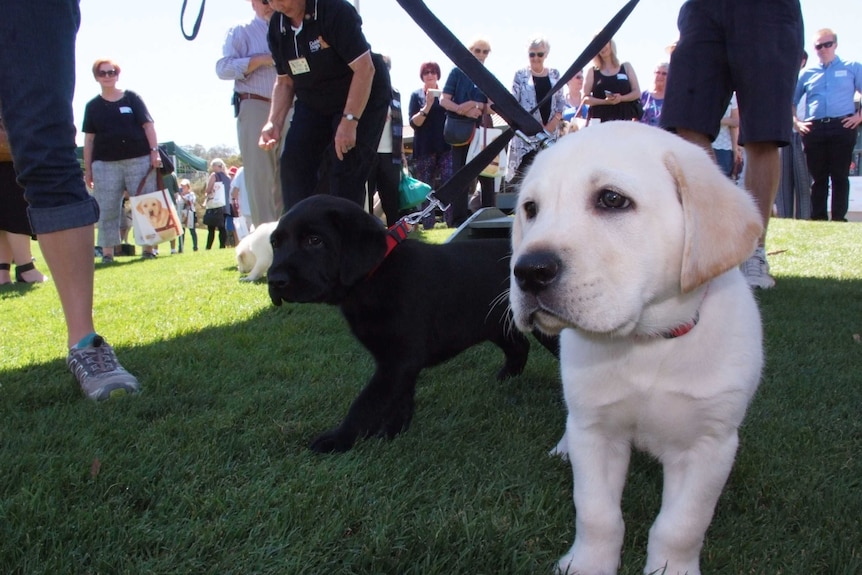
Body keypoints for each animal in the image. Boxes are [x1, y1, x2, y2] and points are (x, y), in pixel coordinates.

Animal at [266, 197, 556, 454]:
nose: (274, 280)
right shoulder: (397, 361)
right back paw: (505, 378)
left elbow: (367, 402)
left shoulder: (399, 358)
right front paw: (393, 432)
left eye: (315, 241)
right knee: (519, 346)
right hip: (493, 322)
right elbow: (399, 397)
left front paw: (338, 439)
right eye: (275, 244)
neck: (374, 276)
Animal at [510, 122, 768, 575]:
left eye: (612, 199)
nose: (527, 271)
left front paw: (672, 569)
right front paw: (588, 564)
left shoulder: (708, 445)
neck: (646, 341)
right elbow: (596, 513)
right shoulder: (596, 431)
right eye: (530, 208)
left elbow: (681, 525)